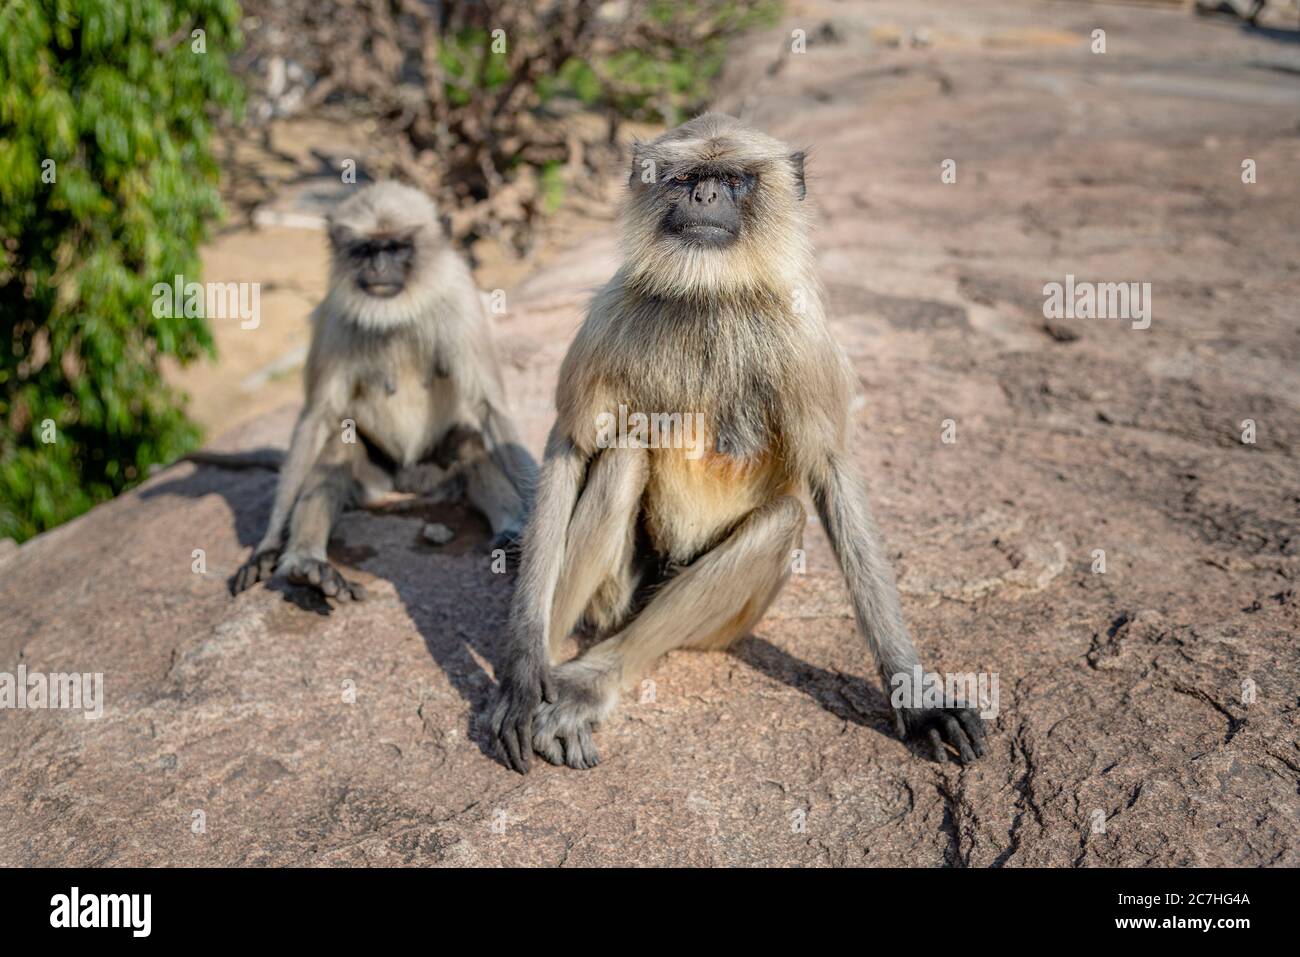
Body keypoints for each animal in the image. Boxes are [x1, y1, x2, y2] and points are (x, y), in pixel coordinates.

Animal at [230, 179, 538, 598]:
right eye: (365, 250)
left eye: (395, 248)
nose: (378, 266)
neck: (396, 313)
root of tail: (407, 479)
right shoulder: (334, 317)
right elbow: (316, 418)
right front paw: (268, 545)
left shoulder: (461, 303)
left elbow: (492, 407)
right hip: (374, 475)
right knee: (337, 446)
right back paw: (308, 565)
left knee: (469, 444)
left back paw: (509, 532)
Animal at [491, 113, 987, 769]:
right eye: (684, 179)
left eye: (731, 179)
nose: (704, 196)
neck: (710, 294)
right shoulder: (610, 313)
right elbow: (571, 445)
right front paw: (523, 670)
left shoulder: (803, 332)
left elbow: (831, 470)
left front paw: (918, 697)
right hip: (615, 597)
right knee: (622, 456)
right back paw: (550, 672)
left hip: (724, 629)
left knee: (781, 520)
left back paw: (592, 681)